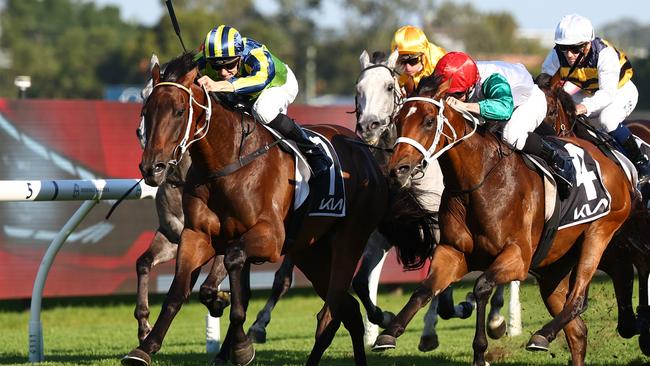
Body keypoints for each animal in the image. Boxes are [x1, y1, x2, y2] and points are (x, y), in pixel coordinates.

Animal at [121, 52, 436, 366]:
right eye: (146, 110)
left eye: (178, 111)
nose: (152, 167)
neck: (226, 163)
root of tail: (371, 158)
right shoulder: (195, 236)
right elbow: (177, 293)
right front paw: (145, 346)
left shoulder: (270, 238)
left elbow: (233, 266)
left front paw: (240, 345)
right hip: (311, 252)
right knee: (349, 310)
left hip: (349, 242)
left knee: (331, 314)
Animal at [378, 74, 636, 366]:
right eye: (398, 120)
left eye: (429, 120)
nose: (397, 169)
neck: (478, 182)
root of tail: (617, 164)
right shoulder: (452, 252)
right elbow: (423, 290)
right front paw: (389, 332)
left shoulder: (517, 256)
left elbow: (481, 286)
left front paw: (481, 350)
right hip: (553, 269)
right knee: (578, 331)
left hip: (599, 233)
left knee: (579, 299)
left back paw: (542, 335)